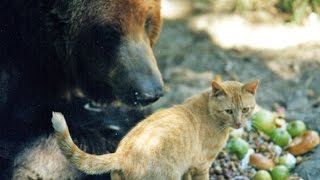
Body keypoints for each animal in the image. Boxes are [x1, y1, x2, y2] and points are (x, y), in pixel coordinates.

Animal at [51, 80, 258, 180]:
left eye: (245, 110)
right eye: (229, 111)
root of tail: (122, 154)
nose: (239, 123)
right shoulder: (201, 165)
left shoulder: (188, 168)